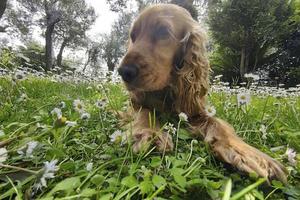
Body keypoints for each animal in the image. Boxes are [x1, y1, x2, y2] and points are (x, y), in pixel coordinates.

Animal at [117, 3, 286, 184]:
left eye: (163, 32)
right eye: (133, 36)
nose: (124, 71)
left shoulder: (195, 111)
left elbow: (219, 123)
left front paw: (247, 152)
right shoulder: (135, 103)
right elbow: (145, 112)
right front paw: (149, 133)